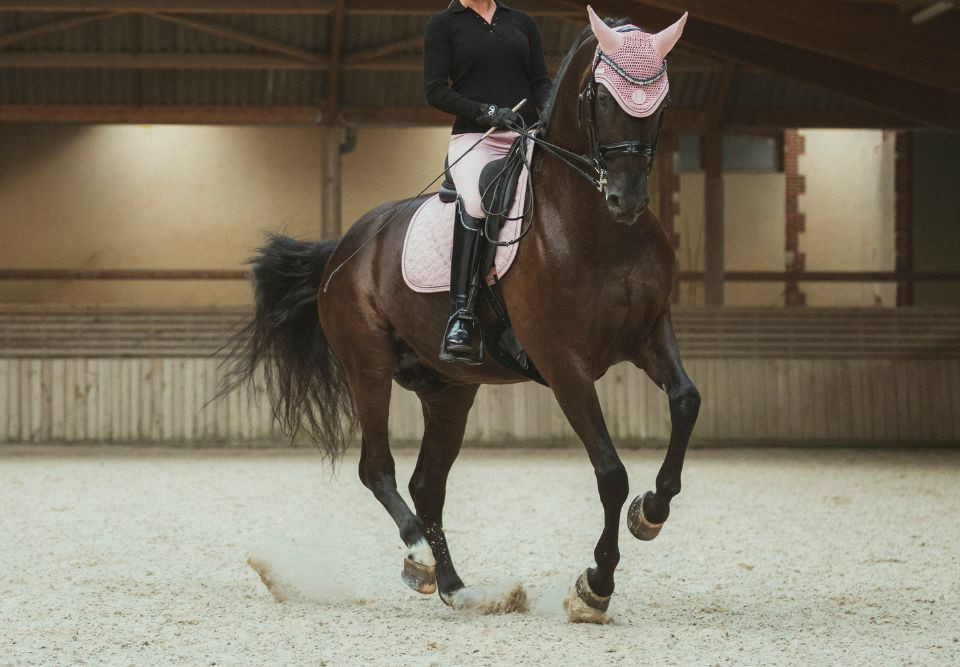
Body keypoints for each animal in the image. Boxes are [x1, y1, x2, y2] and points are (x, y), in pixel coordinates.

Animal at [225, 7, 699, 623]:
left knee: (428, 484)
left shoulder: (650, 334)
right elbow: (610, 472)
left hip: (449, 387)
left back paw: (455, 586)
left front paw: (652, 512)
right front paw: (595, 585)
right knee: (377, 468)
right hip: (368, 366)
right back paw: (420, 558)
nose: (627, 200)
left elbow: (686, 402)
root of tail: (346, 246)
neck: (596, 227)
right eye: (599, 95)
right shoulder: (563, 364)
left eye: (662, 98)